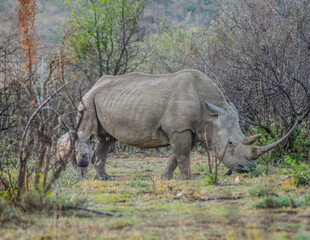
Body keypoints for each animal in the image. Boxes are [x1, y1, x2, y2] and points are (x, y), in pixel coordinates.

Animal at [57, 68, 296, 179]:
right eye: (229, 144)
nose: (248, 169)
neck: (212, 113)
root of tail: (92, 86)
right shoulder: (181, 128)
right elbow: (182, 154)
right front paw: (188, 178)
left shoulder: (192, 129)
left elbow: (177, 154)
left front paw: (167, 177)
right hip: (88, 101)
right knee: (85, 134)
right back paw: (85, 173)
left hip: (101, 100)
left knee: (107, 139)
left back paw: (105, 178)